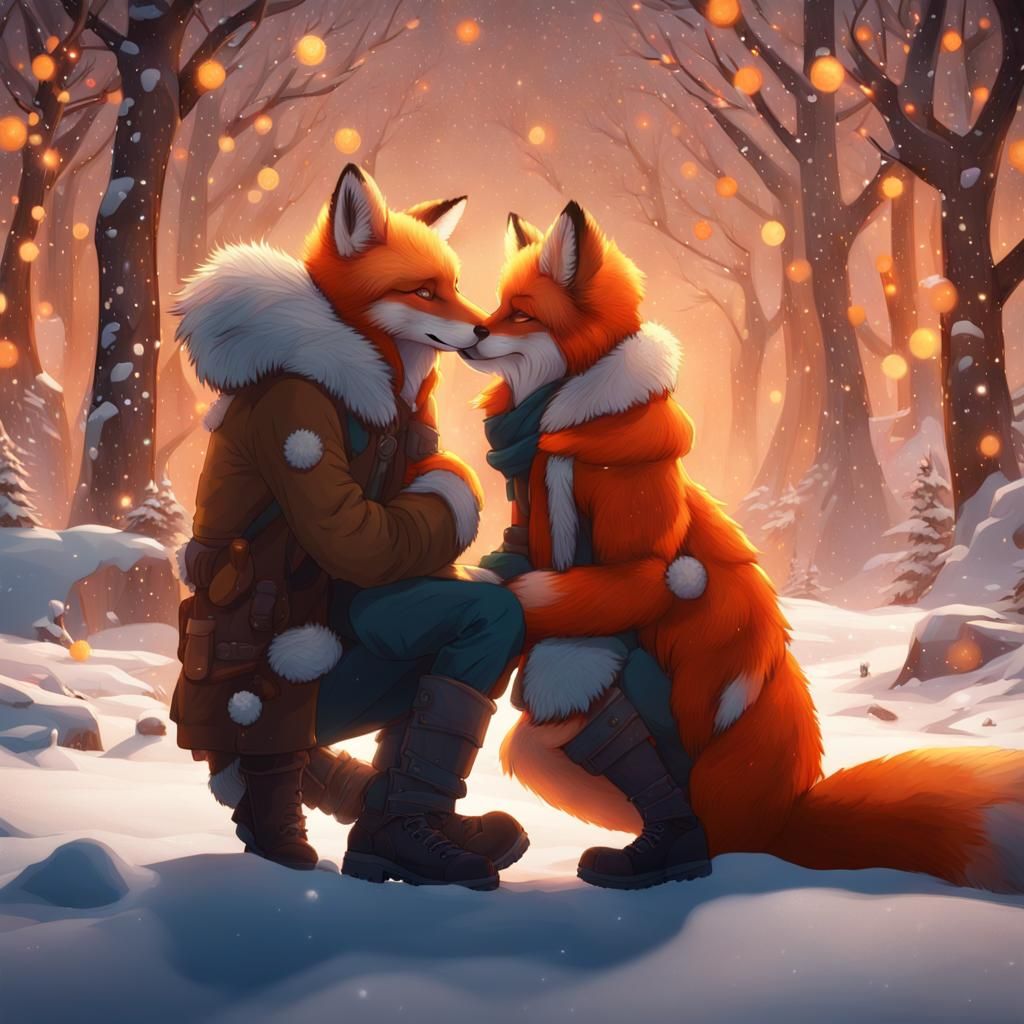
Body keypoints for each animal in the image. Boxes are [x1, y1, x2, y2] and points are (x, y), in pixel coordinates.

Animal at [458, 198, 1024, 893]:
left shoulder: (630, 525)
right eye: (498, 304)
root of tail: (783, 816)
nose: (471, 332)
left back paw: (666, 855)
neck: (557, 416)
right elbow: (513, 555)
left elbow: (627, 579)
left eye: (520, 312)